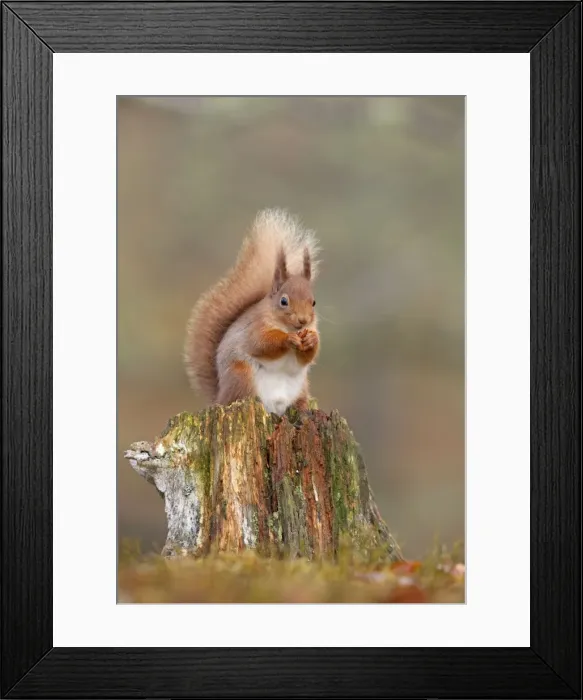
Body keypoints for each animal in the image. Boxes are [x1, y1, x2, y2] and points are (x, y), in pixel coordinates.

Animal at [184, 208, 321, 416]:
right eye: (283, 301)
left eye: (313, 302)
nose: (303, 320)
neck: (287, 327)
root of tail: (219, 397)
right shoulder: (255, 327)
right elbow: (261, 343)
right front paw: (288, 340)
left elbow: (308, 357)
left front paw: (311, 340)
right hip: (241, 375)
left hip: (302, 387)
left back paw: (303, 409)